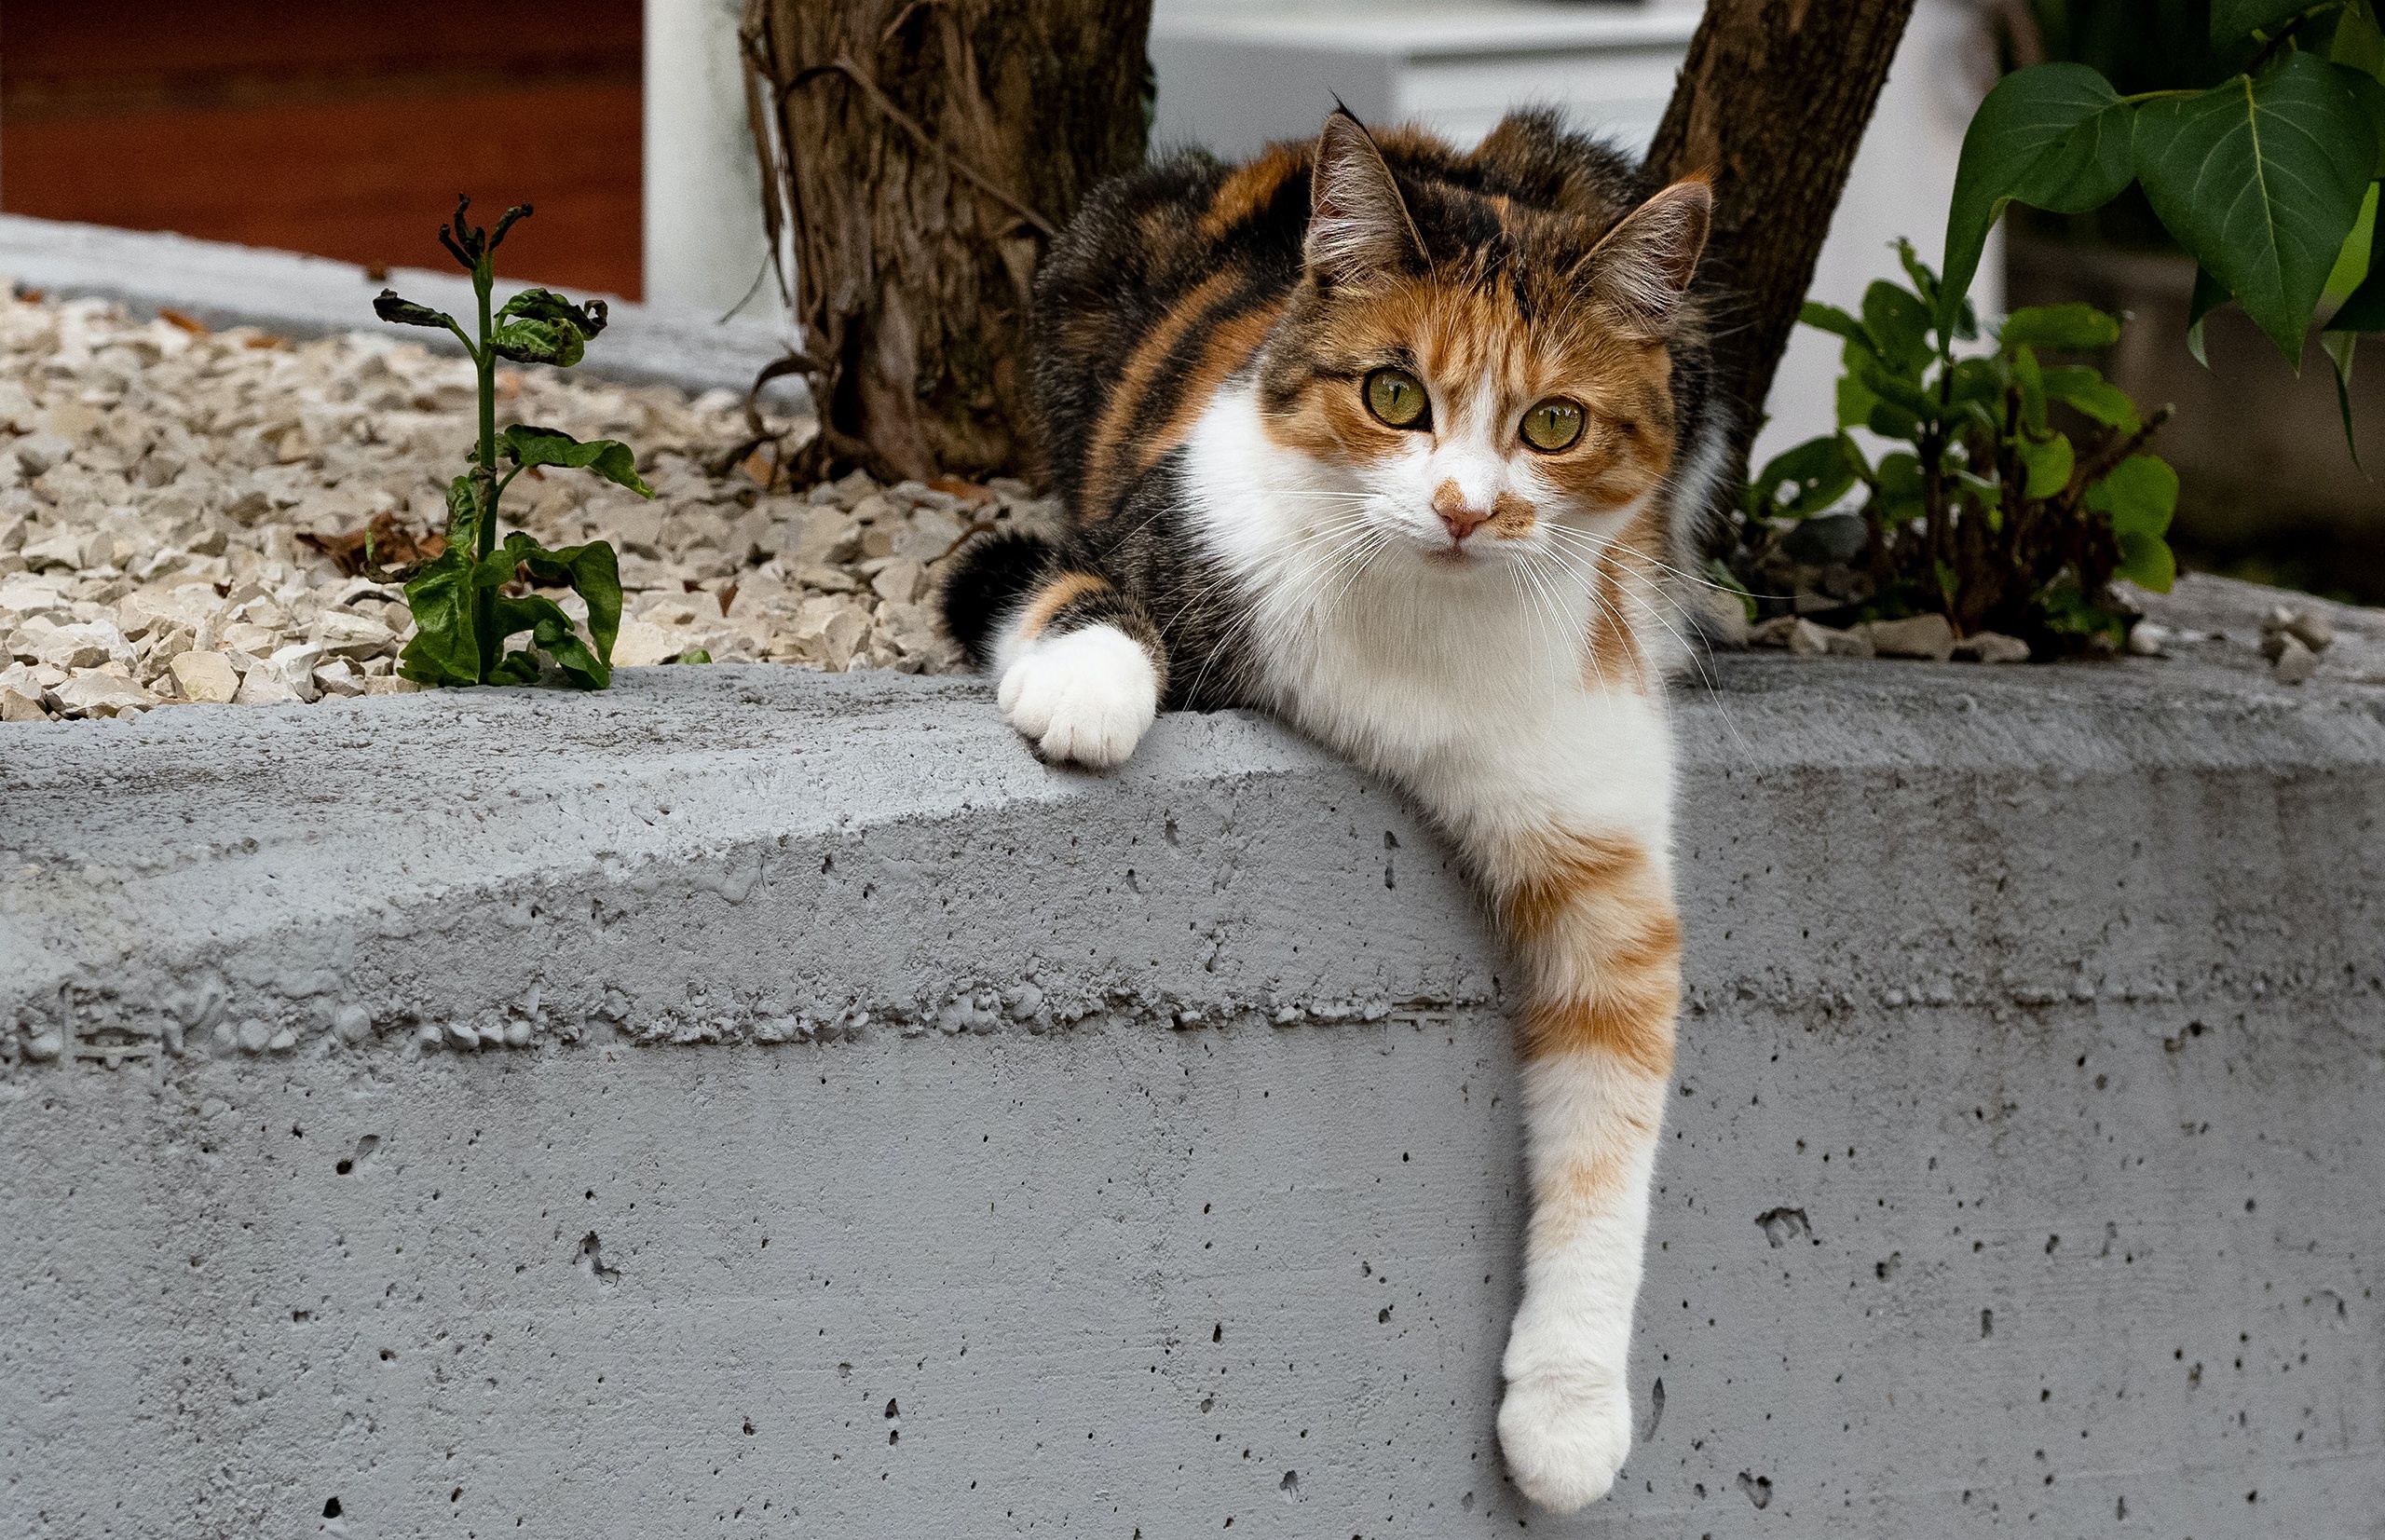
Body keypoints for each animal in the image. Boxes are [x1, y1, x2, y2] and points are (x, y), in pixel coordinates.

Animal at [939, 111, 1726, 1516]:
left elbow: (1612, 1127)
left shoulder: (1605, 843)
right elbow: (1069, 583)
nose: (1465, 508)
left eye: (1555, 422)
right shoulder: (1147, 527)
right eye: (1394, 395)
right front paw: (1089, 687)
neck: (1422, 638)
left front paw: (1568, 1412)